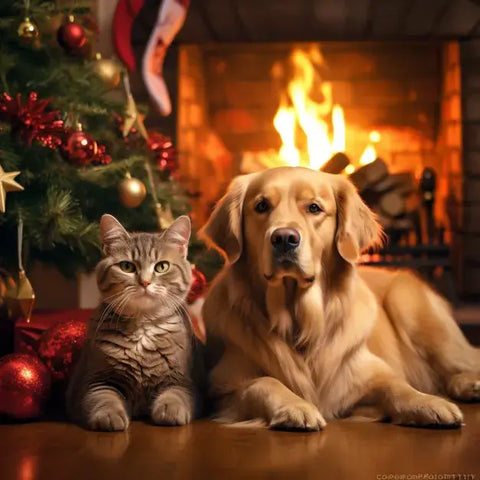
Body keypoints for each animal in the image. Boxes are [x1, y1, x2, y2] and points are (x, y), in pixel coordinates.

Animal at [65, 214, 201, 432]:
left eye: (162, 266)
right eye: (127, 266)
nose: (145, 282)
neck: (143, 328)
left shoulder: (183, 380)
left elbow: (176, 394)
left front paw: (170, 410)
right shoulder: (97, 379)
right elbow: (103, 397)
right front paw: (109, 415)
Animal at [199, 166, 480, 432]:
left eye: (314, 208)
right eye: (261, 206)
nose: (284, 238)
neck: (302, 324)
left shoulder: (369, 371)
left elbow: (398, 386)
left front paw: (429, 403)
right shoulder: (222, 388)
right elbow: (263, 383)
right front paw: (295, 406)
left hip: (409, 306)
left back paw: (468, 383)